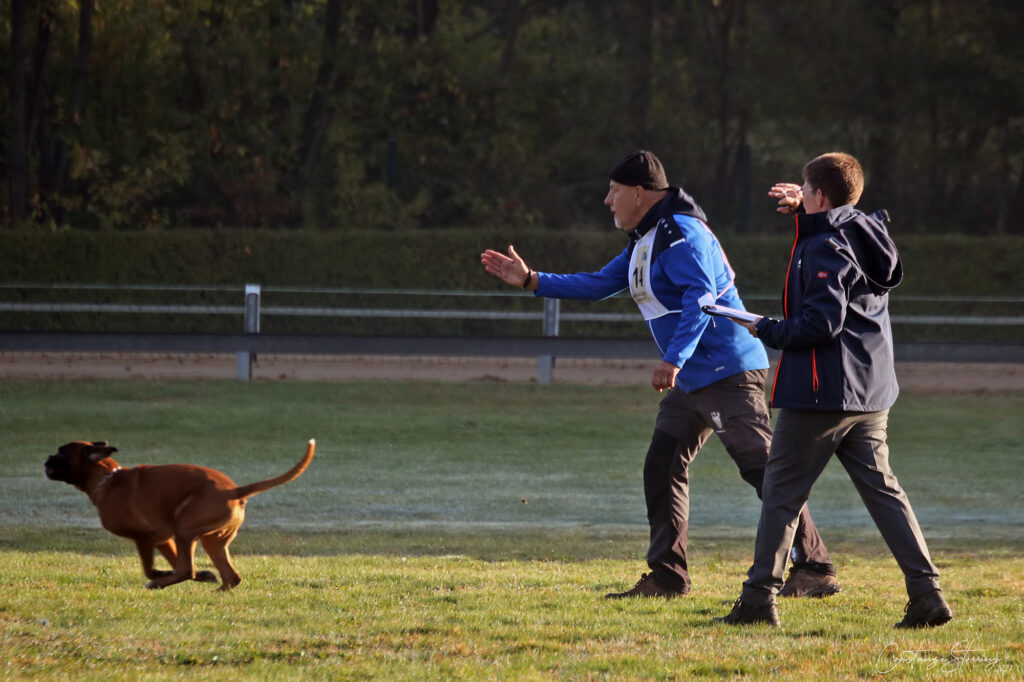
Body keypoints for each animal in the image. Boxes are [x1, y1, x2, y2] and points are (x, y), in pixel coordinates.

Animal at [44, 438, 313, 585]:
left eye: (61, 452)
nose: (46, 458)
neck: (108, 480)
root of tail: (233, 491)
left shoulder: (145, 537)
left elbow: (153, 569)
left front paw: (159, 577)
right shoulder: (163, 540)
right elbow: (182, 567)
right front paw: (203, 575)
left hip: (186, 530)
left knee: (186, 569)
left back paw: (158, 585)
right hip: (208, 540)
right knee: (228, 576)